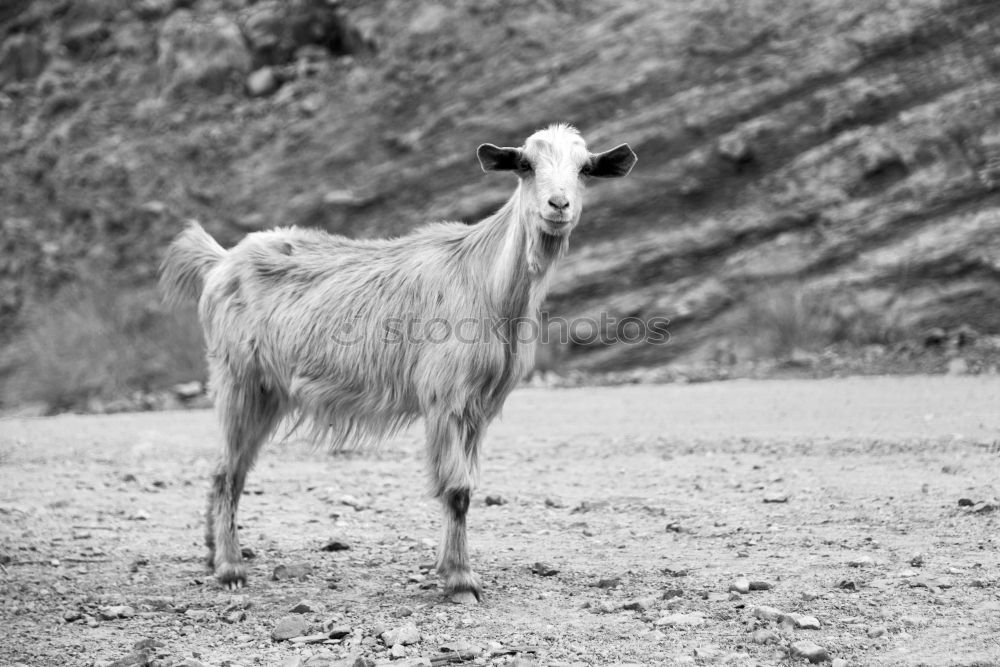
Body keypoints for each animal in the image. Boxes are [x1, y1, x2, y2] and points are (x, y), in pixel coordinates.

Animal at [160, 122, 636, 604]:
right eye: (526, 164)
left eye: (585, 169)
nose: (558, 205)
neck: (487, 283)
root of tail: (221, 261)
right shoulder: (446, 396)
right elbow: (457, 489)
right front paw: (461, 580)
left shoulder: (480, 406)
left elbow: (466, 485)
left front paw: (450, 568)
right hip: (239, 378)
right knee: (228, 472)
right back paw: (230, 568)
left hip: (266, 390)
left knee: (226, 468)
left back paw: (212, 552)